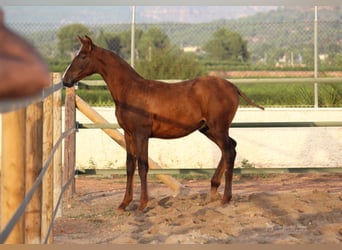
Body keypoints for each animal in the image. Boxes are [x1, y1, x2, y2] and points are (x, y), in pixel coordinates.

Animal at [62, 35, 264, 211]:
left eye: (82, 56)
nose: (66, 80)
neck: (130, 90)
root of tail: (233, 86)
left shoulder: (141, 134)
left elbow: (143, 165)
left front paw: (142, 205)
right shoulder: (128, 134)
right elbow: (130, 165)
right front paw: (124, 204)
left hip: (217, 127)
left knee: (229, 150)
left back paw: (225, 198)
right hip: (208, 129)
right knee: (229, 147)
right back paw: (212, 192)